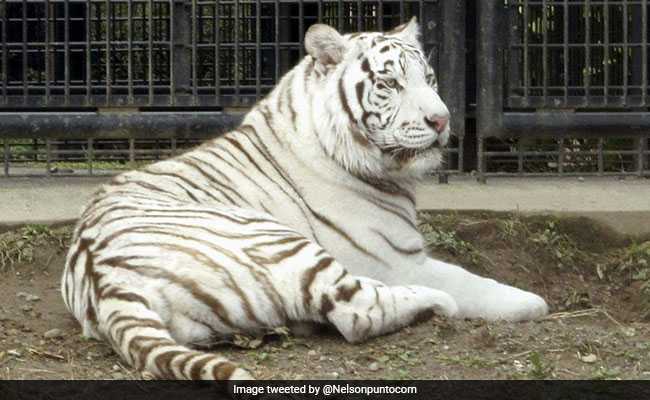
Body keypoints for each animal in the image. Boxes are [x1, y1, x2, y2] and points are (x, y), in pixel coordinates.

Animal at [61, 18, 548, 380]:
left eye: (427, 78)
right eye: (390, 83)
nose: (442, 120)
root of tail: (106, 280)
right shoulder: (396, 261)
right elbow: (469, 280)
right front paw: (531, 302)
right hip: (283, 243)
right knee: (357, 311)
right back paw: (433, 303)